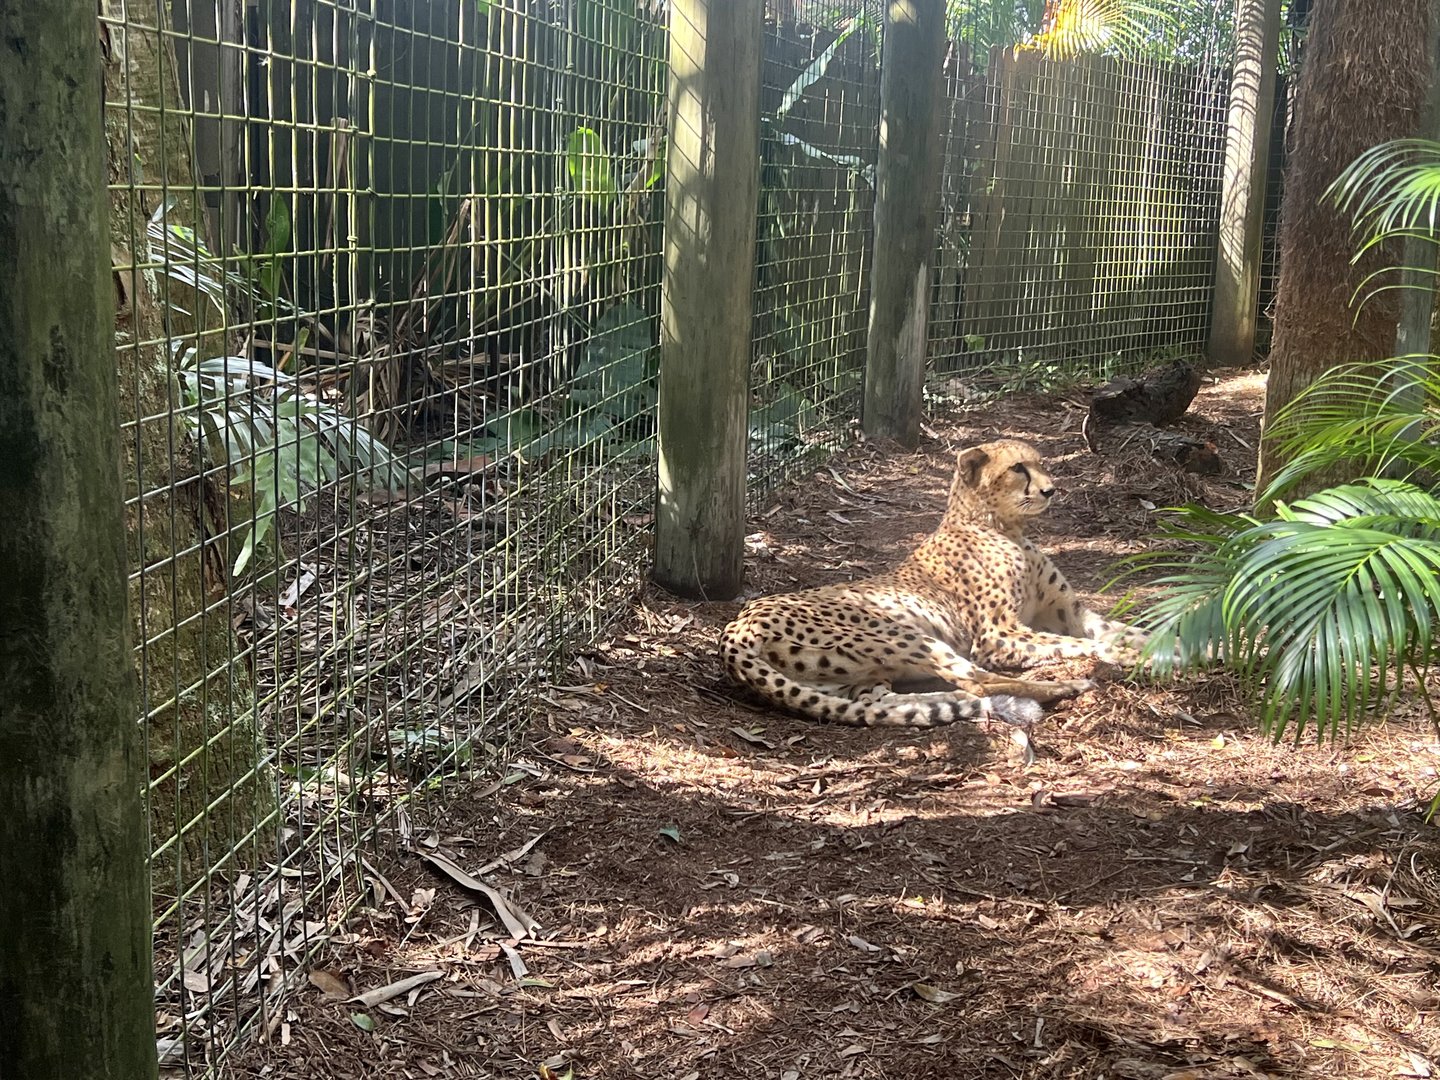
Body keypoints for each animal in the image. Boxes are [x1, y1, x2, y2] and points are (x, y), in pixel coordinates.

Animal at [719, 438, 1151, 729]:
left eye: (1040, 463)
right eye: (1018, 468)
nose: (1050, 490)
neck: (1003, 526)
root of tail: (735, 627)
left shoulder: (1069, 612)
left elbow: (1128, 630)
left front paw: (1159, 645)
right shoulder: (997, 636)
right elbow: (1082, 643)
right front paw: (1129, 657)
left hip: (853, 680)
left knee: (887, 705)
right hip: (901, 633)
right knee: (977, 681)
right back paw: (1067, 686)